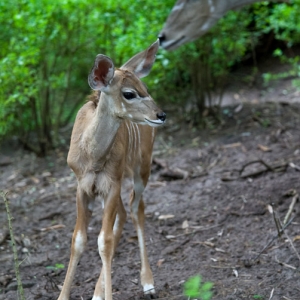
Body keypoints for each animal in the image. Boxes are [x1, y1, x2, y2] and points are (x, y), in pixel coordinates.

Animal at [58, 40, 166, 300]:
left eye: (145, 88)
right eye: (129, 93)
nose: (161, 115)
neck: (93, 157)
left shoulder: (111, 185)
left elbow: (103, 241)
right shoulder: (83, 187)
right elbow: (79, 240)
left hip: (141, 169)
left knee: (136, 209)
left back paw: (148, 283)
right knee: (124, 214)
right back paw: (98, 292)